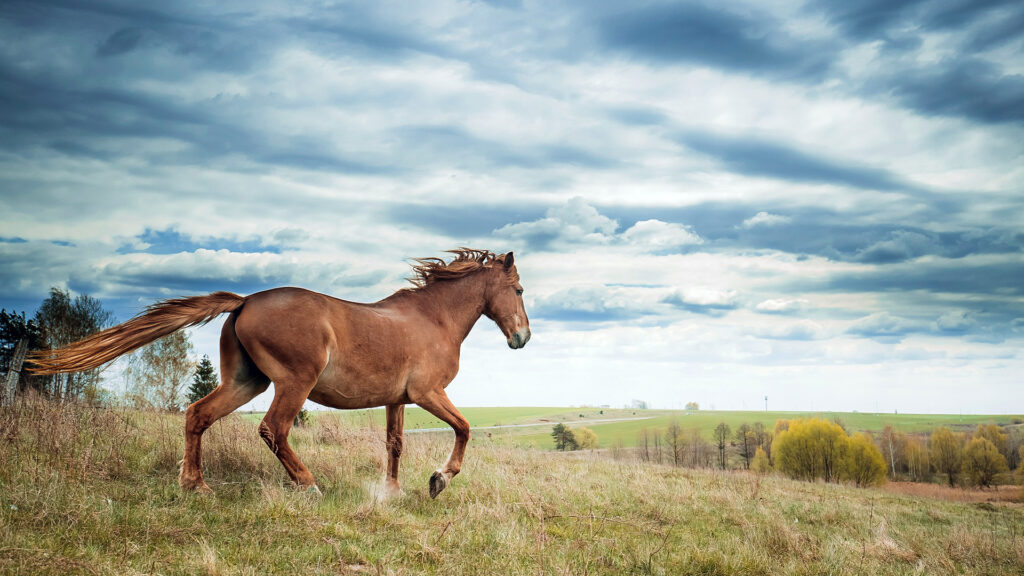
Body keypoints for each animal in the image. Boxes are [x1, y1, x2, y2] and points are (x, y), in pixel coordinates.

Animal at [28, 248, 530, 498]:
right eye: (521, 289)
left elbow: (395, 445)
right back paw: (308, 485)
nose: (522, 337)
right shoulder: (429, 393)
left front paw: (390, 491)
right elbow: (463, 428)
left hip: (245, 381)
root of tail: (246, 300)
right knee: (273, 429)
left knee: (198, 415)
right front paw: (439, 480)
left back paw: (196, 485)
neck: (432, 318)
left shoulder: (397, 399)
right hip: (293, 382)